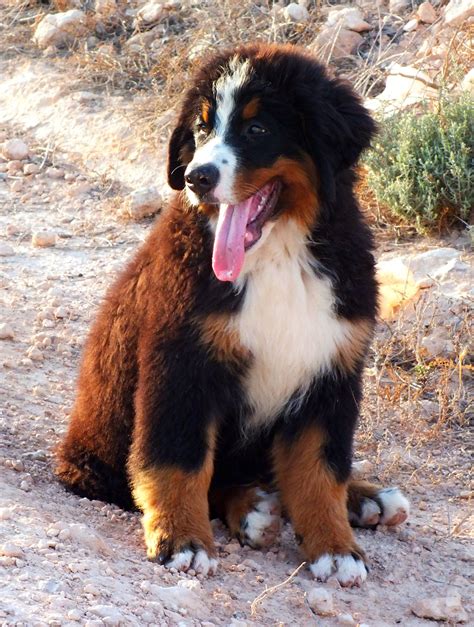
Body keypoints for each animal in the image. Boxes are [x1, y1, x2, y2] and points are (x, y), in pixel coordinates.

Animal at [56, 44, 412, 588]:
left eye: (258, 129)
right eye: (201, 130)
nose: (196, 178)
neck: (279, 254)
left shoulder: (332, 367)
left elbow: (320, 470)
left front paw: (335, 547)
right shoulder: (181, 361)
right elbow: (179, 461)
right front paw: (182, 540)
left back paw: (366, 498)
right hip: (97, 459)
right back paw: (254, 510)